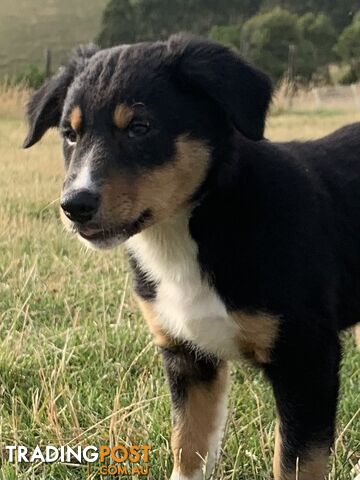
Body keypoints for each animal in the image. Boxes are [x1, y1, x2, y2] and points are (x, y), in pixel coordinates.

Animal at [23, 35, 358, 478]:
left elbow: (295, 464)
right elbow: (188, 448)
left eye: (140, 128)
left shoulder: (306, 359)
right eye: (70, 134)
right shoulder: (188, 358)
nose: (74, 205)